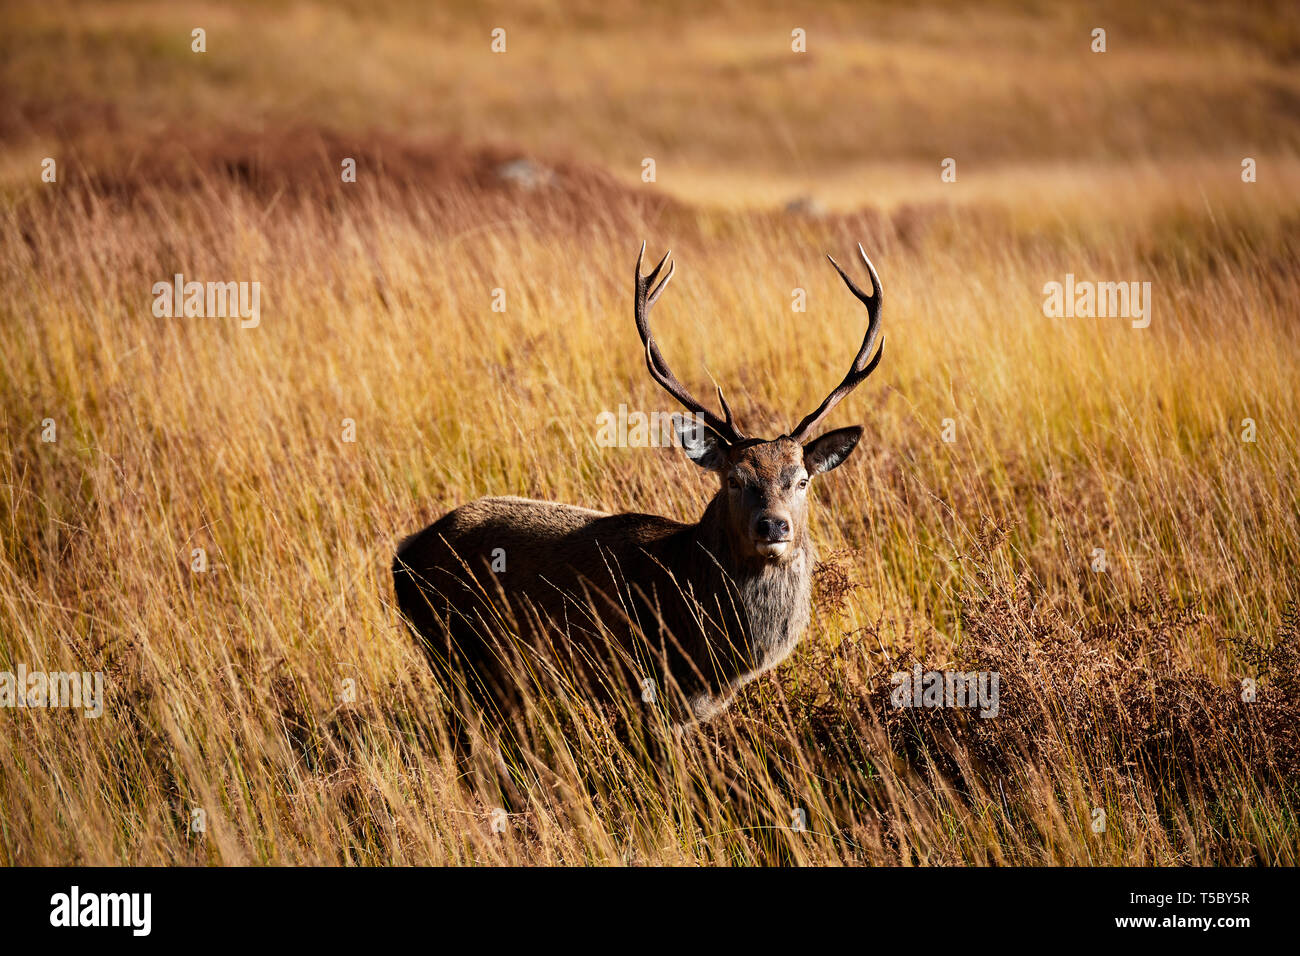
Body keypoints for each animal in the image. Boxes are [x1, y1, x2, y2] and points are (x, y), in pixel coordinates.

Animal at [393, 242, 884, 741]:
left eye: (801, 479)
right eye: (733, 479)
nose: (774, 526)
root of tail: (403, 554)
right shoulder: (641, 684)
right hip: (455, 653)